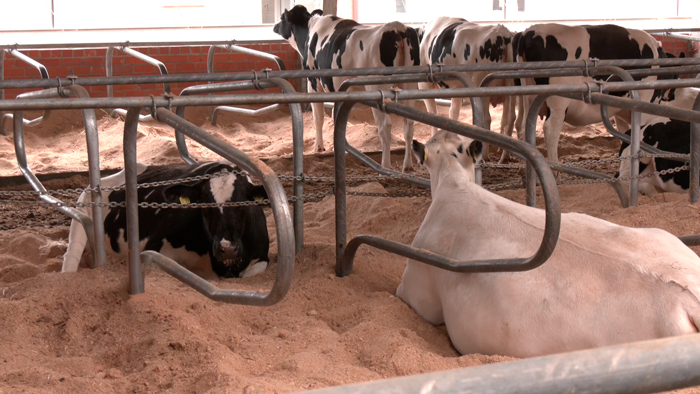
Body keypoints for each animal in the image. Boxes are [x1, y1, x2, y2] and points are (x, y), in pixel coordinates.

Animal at [61, 162, 270, 278]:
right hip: (82, 215)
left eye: (243, 204)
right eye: (204, 206)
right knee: (70, 257)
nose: (227, 248)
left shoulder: (262, 258)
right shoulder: (154, 247)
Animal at [270, 4, 418, 171]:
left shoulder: (314, 83)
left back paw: (385, 166)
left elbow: (319, 117)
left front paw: (319, 147)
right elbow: (338, 117)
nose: (274, 26)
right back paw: (407, 165)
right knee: (409, 124)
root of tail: (397, 27)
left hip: (376, 87)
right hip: (410, 85)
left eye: (282, 17)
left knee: (385, 126)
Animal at [418, 16, 516, 162]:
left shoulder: (425, 84)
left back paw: (484, 155)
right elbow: (453, 113)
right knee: (509, 118)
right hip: (512, 86)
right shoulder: (458, 88)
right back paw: (504, 156)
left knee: (486, 118)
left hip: (482, 86)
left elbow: (433, 113)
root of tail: (502, 33)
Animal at [512, 22, 668, 164]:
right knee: (551, 129)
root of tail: (528, 32)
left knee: (524, 125)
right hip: (558, 98)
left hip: (527, 95)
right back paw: (555, 168)